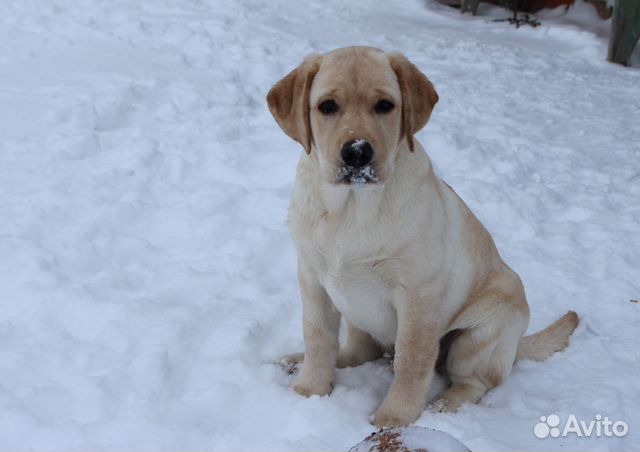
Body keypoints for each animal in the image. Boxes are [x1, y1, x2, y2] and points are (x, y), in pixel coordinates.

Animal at [268, 47, 576, 430]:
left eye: (385, 105)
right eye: (327, 106)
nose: (357, 152)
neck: (352, 207)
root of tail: (517, 344)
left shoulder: (417, 293)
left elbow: (413, 358)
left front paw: (395, 417)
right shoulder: (312, 278)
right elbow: (318, 338)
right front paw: (309, 390)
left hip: (480, 334)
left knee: (474, 380)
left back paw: (443, 405)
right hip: (356, 315)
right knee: (356, 351)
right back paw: (296, 361)